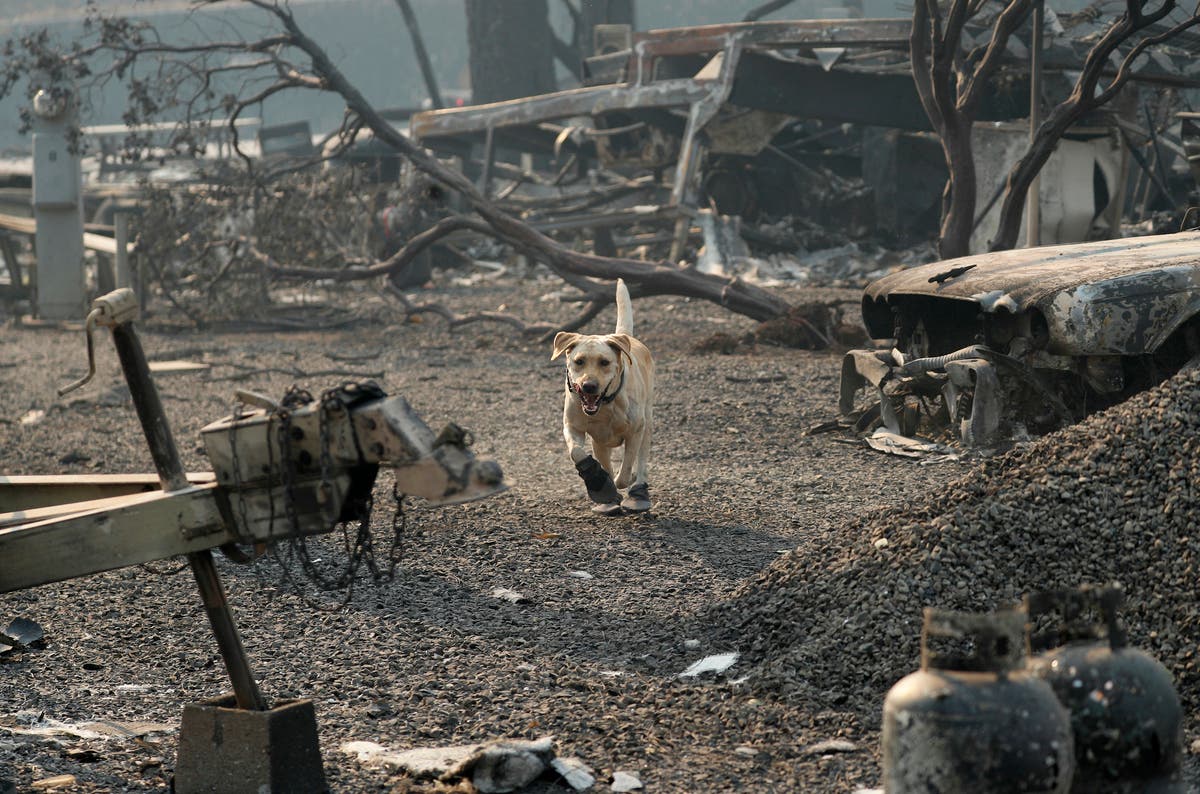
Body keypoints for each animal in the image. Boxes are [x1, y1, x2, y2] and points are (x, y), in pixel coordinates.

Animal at [552, 279, 657, 515]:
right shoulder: (574, 427)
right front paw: (600, 482)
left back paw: (638, 492)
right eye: (579, 361)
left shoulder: (635, 430)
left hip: (647, 422)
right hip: (600, 442)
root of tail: (625, 337)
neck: (606, 406)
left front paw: (621, 481)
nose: (589, 386)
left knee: (641, 460)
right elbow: (577, 452)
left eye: (604, 362)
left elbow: (625, 469)